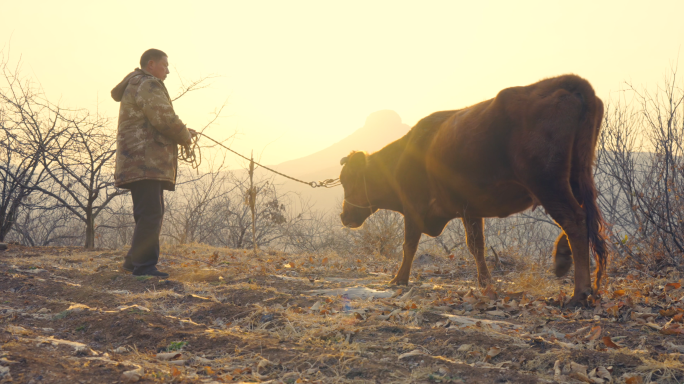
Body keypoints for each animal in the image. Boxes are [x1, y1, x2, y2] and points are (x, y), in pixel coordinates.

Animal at [340, 73, 608, 304]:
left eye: (346, 180)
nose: (343, 216)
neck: (401, 157)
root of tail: (565, 82)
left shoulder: (414, 206)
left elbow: (409, 245)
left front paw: (399, 279)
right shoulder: (470, 208)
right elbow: (476, 245)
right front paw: (485, 282)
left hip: (547, 184)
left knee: (574, 220)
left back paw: (579, 291)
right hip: (577, 178)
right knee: (586, 218)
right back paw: (563, 259)